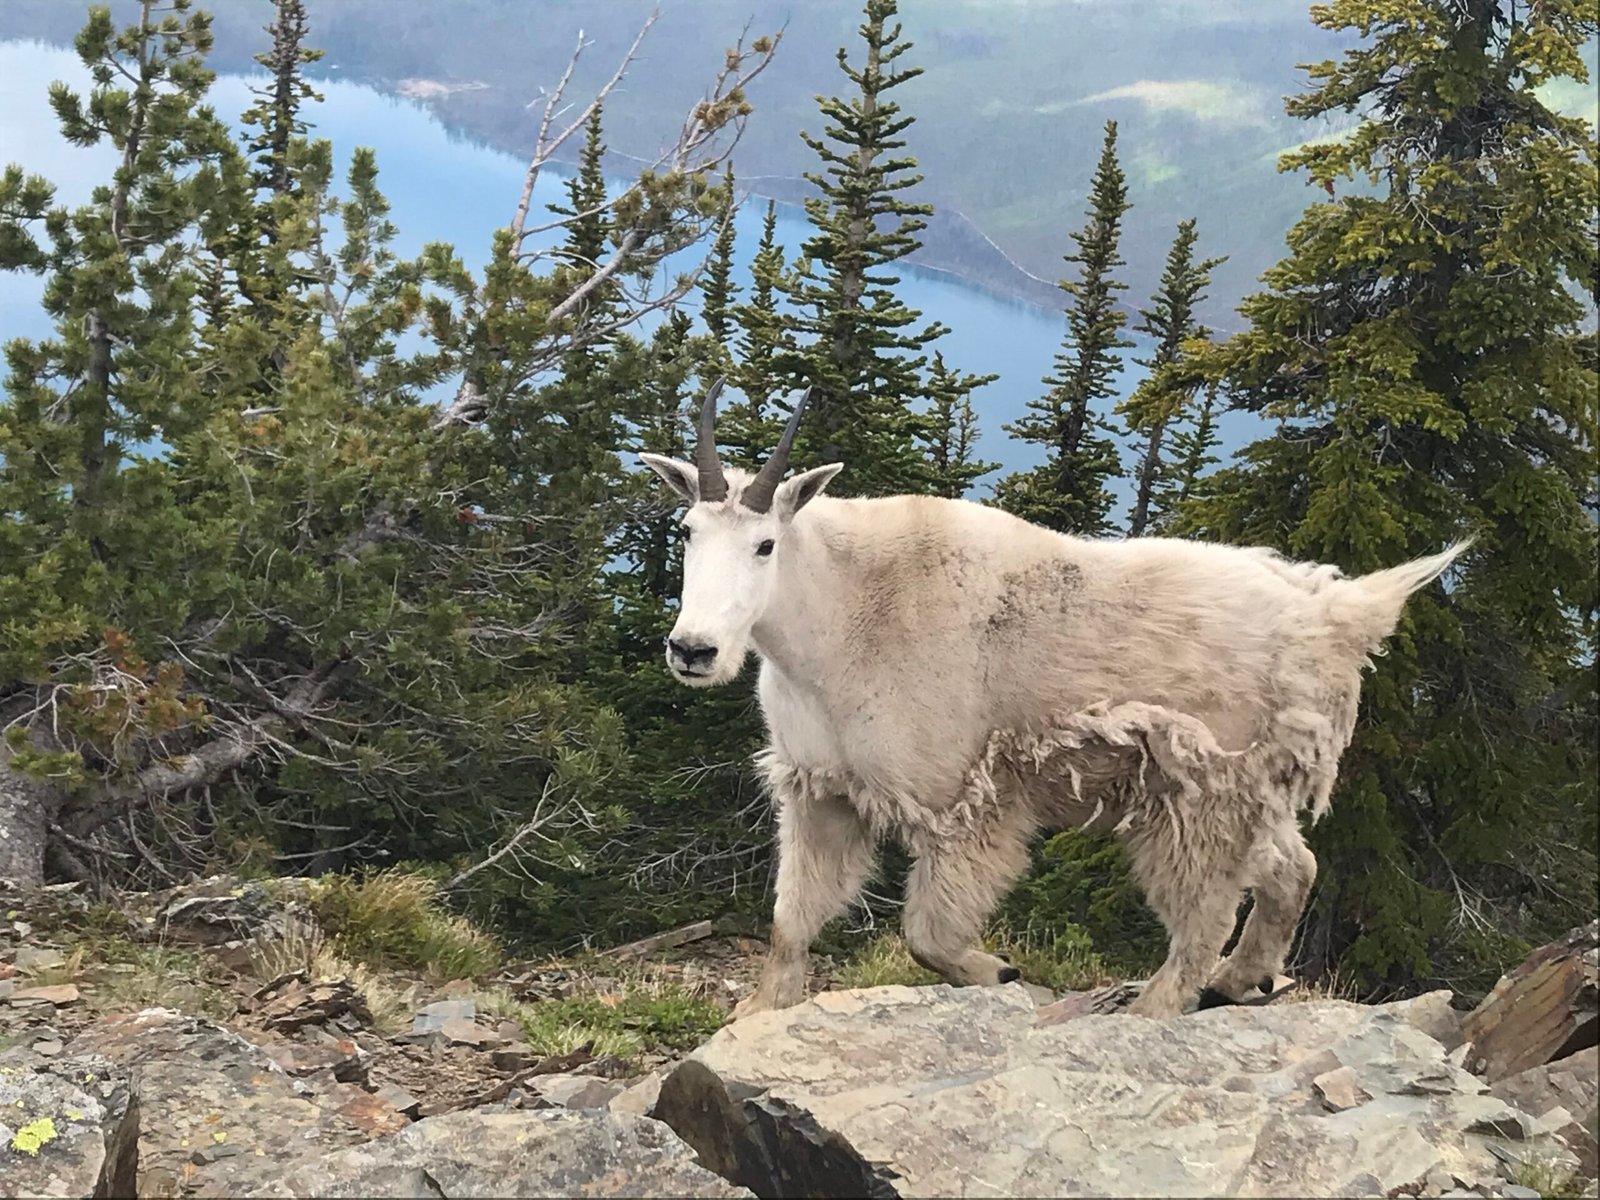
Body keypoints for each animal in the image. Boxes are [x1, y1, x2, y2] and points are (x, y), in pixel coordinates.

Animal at [636, 380, 1472, 1017]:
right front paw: (760, 1012)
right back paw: (1245, 979)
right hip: (1248, 791)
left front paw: (997, 970)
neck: (840, 613)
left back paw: (1155, 1009)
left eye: (765, 544)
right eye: (687, 530)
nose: (693, 650)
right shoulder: (823, 789)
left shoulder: (962, 799)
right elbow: (790, 922)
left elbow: (927, 933)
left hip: (1198, 793)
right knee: (1292, 867)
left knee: (1205, 915)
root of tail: (1334, 619)